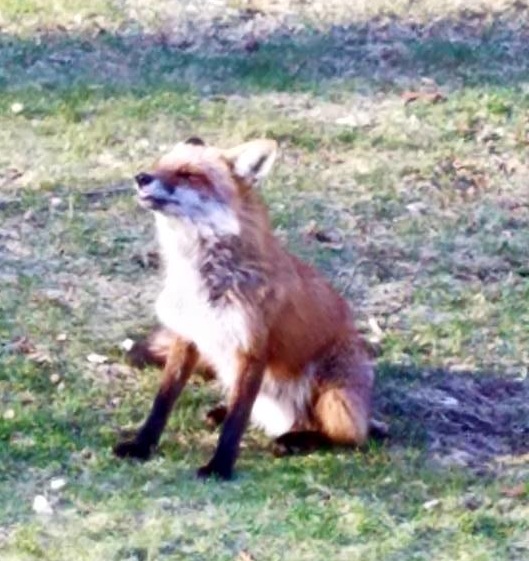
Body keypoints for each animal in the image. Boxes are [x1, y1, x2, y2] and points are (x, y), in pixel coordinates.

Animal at [113, 138, 374, 480]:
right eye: (160, 165)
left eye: (189, 174)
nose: (141, 177)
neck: (206, 279)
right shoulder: (189, 336)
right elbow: (163, 401)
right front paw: (142, 445)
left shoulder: (251, 348)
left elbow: (237, 420)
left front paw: (220, 466)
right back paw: (223, 413)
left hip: (334, 395)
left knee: (351, 436)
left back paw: (297, 440)